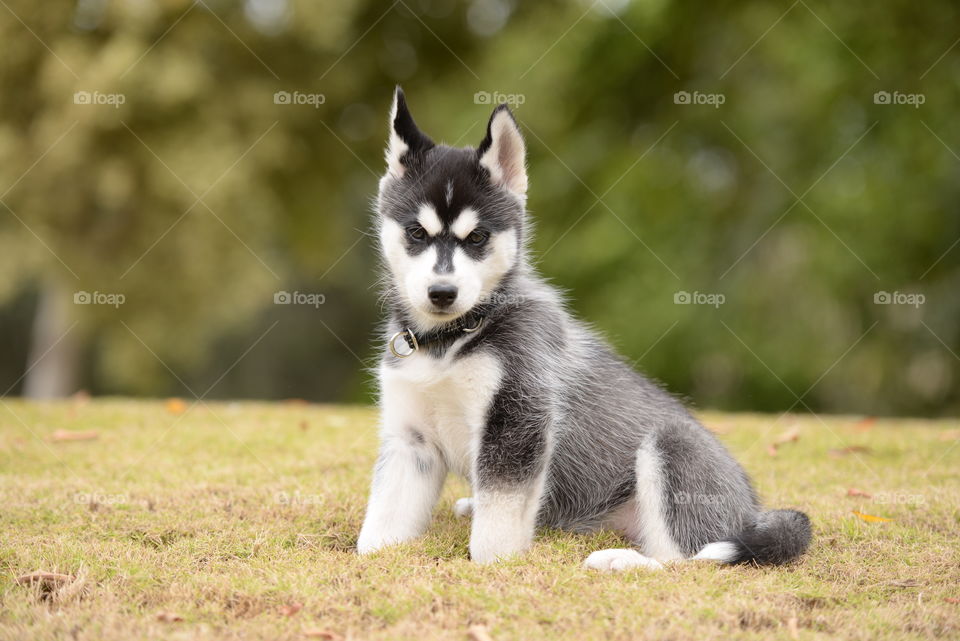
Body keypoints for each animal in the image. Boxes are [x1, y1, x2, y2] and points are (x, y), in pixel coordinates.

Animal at [354, 86, 808, 568]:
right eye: (416, 233)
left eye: (477, 238)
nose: (442, 293)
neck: (450, 341)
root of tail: (751, 509)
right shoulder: (411, 442)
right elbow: (380, 527)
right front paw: (376, 555)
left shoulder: (518, 421)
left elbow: (494, 534)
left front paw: (493, 566)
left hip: (671, 448)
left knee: (685, 560)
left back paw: (620, 562)